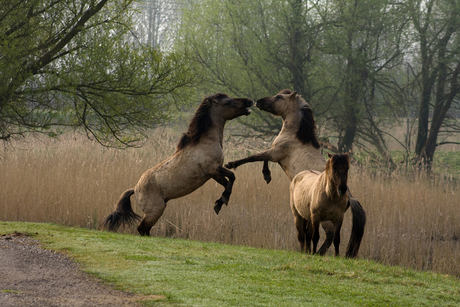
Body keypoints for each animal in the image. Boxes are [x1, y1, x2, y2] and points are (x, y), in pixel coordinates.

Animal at [102, 93, 253, 236]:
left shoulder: (214, 174)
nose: (249, 101)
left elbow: (227, 183)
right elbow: (232, 176)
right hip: (154, 212)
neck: (206, 142)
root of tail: (135, 189)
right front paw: (222, 201)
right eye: (228, 102)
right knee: (142, 229)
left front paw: (219, 203)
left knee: (144, 230)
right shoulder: (213, 169)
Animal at [225, 89, 364, 258]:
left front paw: (231, 164)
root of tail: (349, 194)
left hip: (325, 219)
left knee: (329, 235)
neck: (295, 136)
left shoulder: (275, 153)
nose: (258, 101)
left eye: (279, 97)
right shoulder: (275, 154)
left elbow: (254, 157)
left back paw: (317, 252)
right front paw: (267, 175)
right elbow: (262, 159)